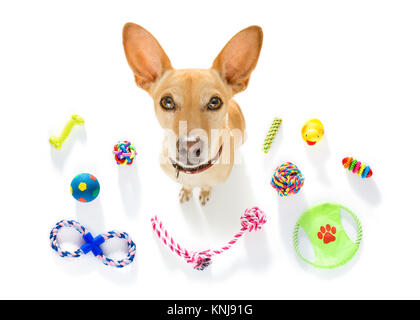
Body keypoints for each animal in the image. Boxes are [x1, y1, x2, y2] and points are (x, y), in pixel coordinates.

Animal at [122, 23, 262, 206]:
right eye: (167, 102)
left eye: (214, 102)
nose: (189, 146)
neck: (194, 174)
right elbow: (187, 185)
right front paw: (187, 190)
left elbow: (207, 185)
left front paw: (204, 192)